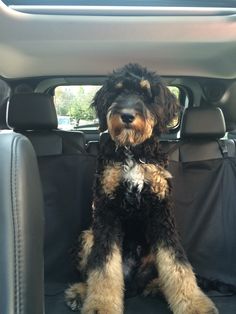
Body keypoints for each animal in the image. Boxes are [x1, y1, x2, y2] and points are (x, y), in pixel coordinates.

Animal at [65, 63, 218, 314]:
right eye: (117, 91)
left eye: (147, 95)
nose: (127, 116)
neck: (133, 151)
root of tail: (132, 283)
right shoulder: (107, 211)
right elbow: (103, 266)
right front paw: (101, 305)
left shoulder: (161, 212)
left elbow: (176, 262)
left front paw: (194, 304)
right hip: (89, 234)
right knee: (92, 269)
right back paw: (80, 292)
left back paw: (156, 286)